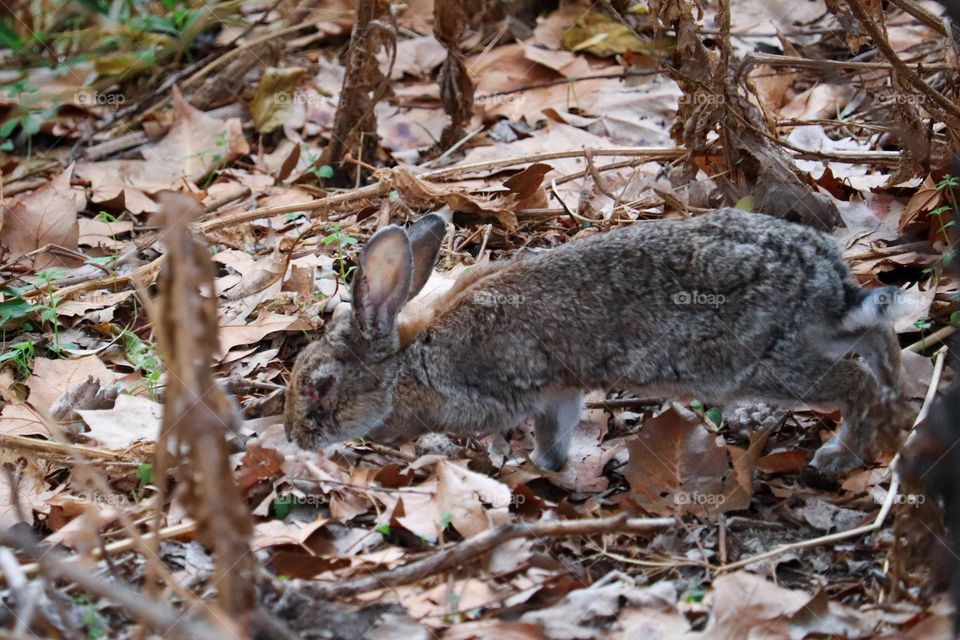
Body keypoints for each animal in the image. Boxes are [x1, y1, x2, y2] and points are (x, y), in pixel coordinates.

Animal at [284, 208, 913, 476]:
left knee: (850, 381)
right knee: (875, 329)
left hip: (757, 364)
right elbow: (554, 432)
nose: (295, 438)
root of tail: (822, 274)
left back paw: (840, 454)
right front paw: (552, 468)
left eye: (320, 386)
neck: (407, 363)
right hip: (809, 334)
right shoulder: (558, 392)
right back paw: (899, 395)